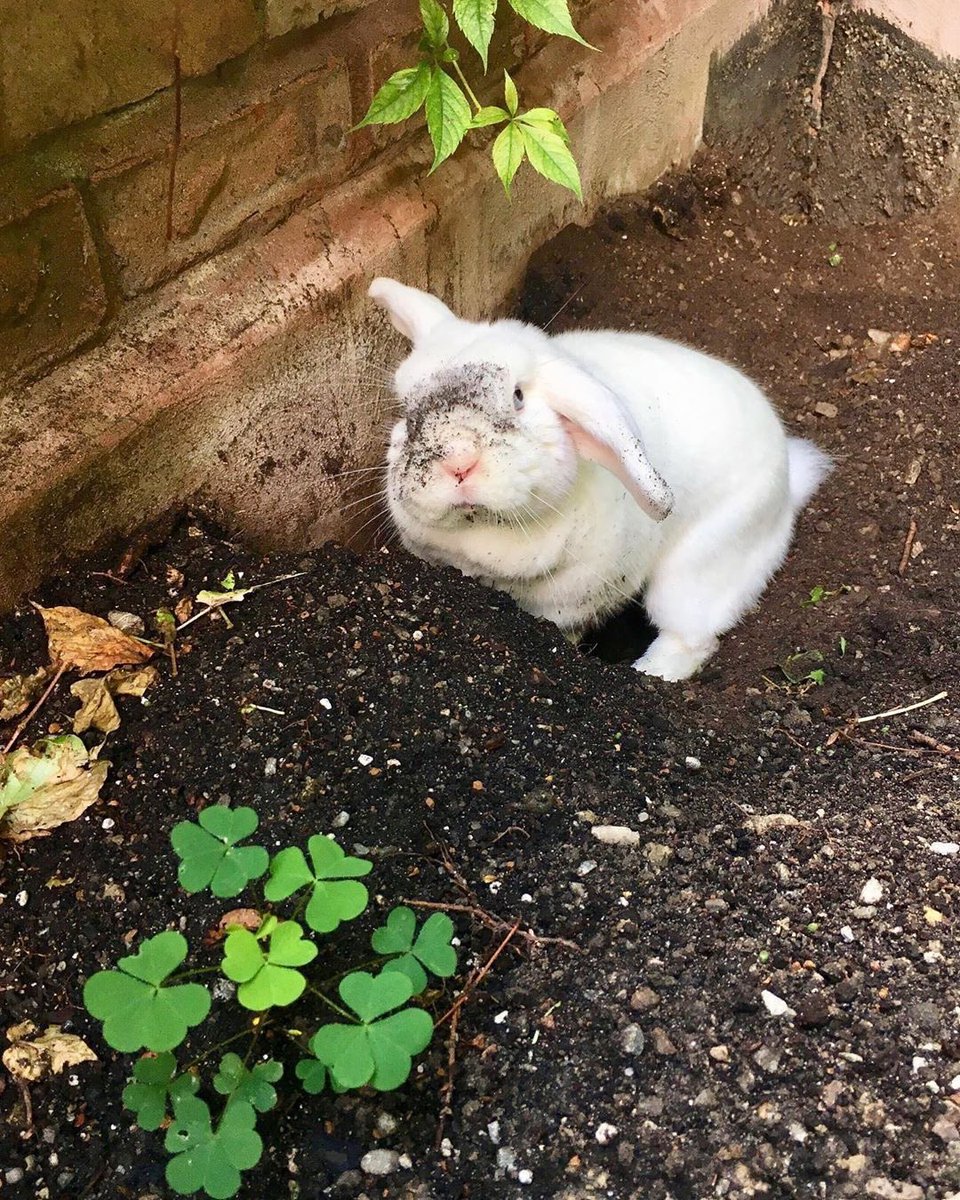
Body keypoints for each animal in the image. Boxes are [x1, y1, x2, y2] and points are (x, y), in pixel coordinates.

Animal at [369, 277, 831, 681]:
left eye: (518, 397)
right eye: (408, 411)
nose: (458, 462)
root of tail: (789, 481)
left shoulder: (567, 606)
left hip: (699, 571)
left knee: (690, 638)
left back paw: (650, 673)